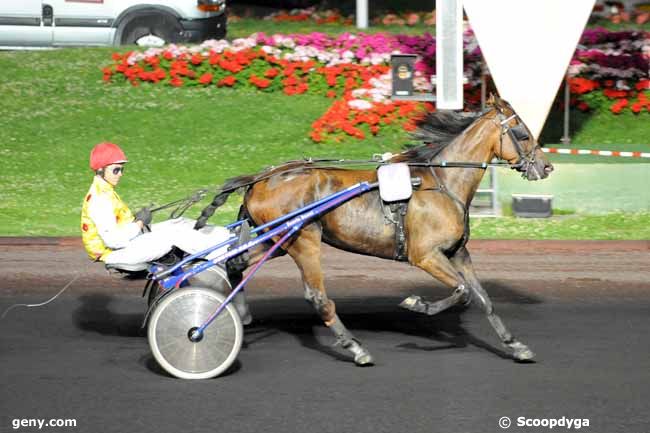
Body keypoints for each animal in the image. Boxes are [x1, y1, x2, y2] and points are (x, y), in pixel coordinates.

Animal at [196, 94, 552, 364]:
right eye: (522, 132)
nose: (545, 165)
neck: (441, 182)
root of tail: (261, 177)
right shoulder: (426, 255)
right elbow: (462, 291)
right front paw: (417, 304)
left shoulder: (458, 253)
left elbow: (483, 297)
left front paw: (515, 345)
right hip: (302, 239)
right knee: (317, 296)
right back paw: (355, 347)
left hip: (277, 241)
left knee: (235, 263)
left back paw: (240, 314)